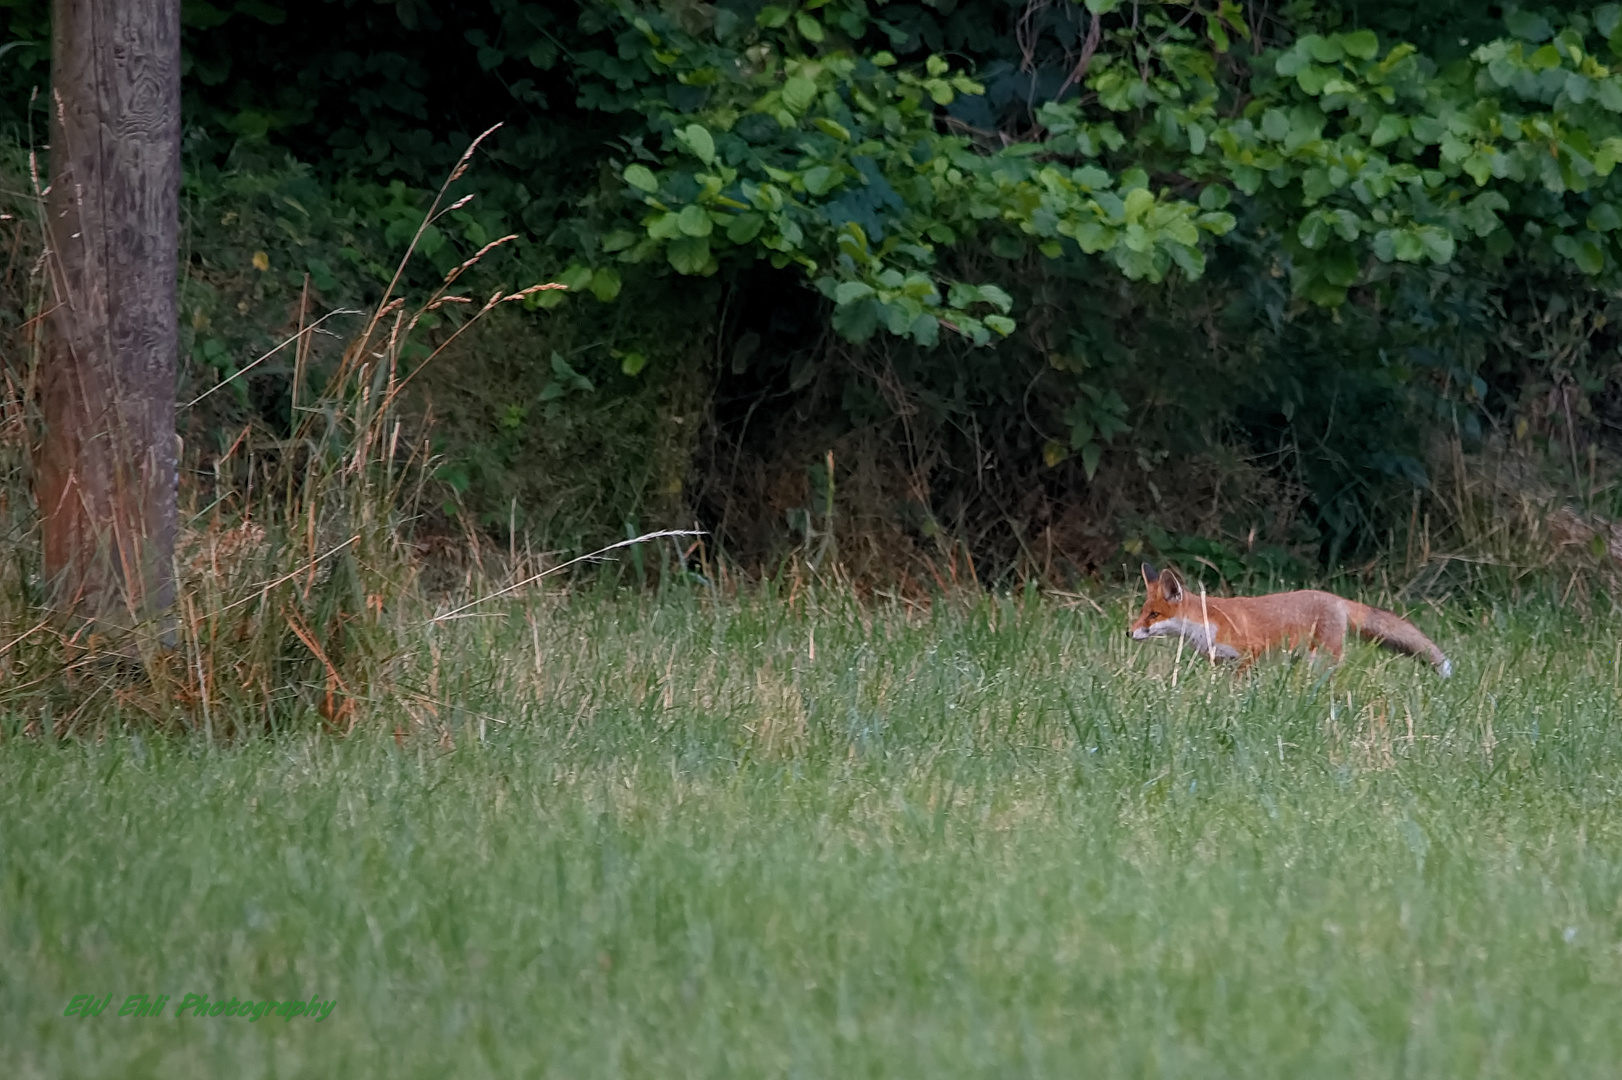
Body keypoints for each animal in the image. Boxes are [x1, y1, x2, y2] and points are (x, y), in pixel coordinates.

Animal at [1128, 557, 1459, 677]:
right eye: (1142, 613)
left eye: (1154, 614)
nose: (1129, 633)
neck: (1206, 624)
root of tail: (1337, 599)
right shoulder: (1220, 660)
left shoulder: (1251, 651)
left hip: (1321, 655)